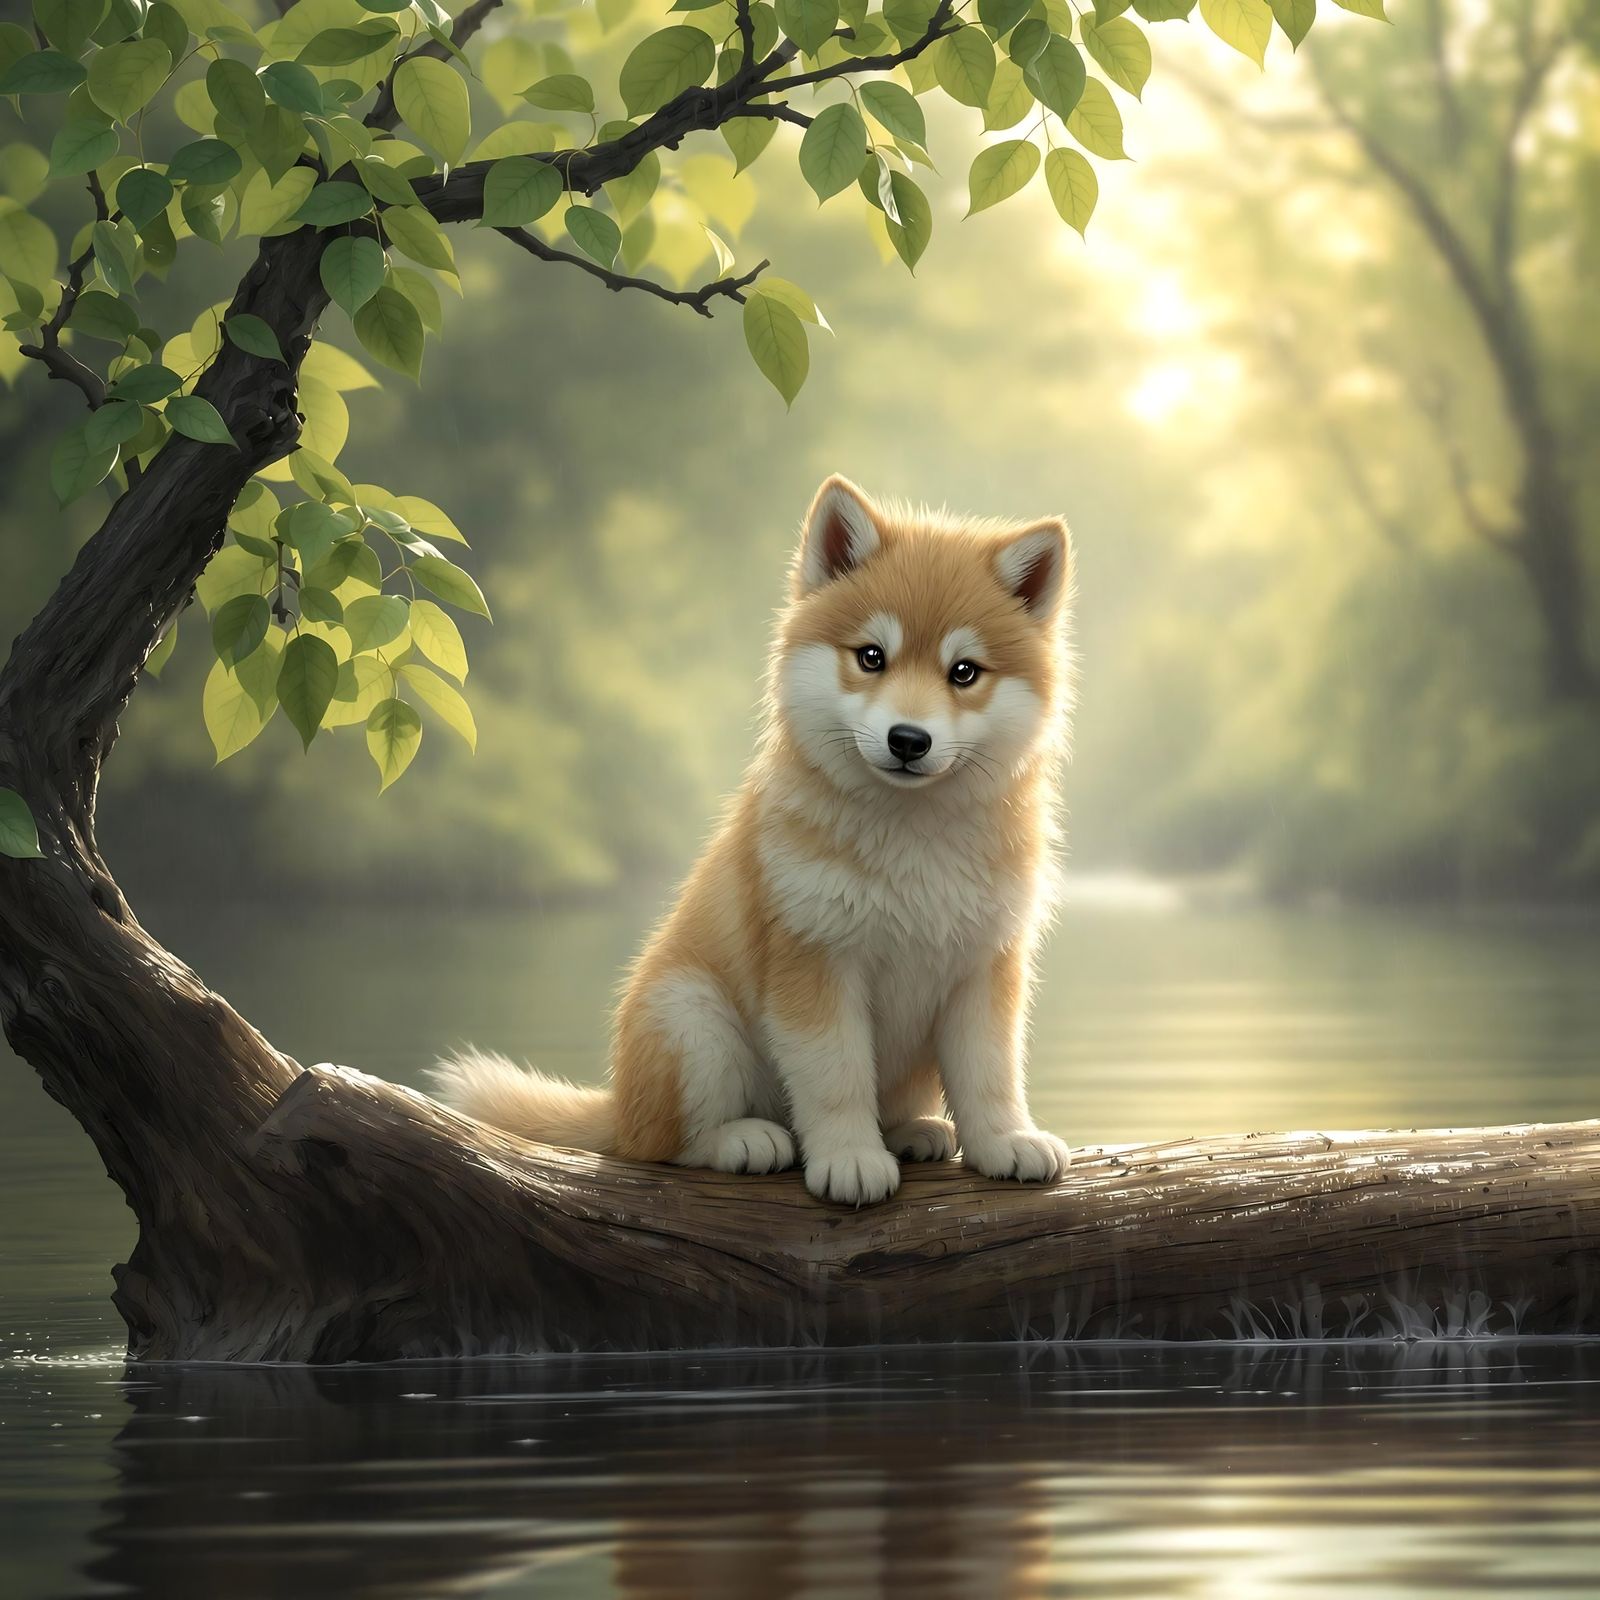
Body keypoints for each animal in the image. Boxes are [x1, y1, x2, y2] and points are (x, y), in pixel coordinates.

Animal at [432, 475, 1074, 1205]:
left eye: (964, 672)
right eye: (871, 657)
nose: (909, 740)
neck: (914, 838)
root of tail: (618, 1105)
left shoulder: (984, 966)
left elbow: (991, 1075)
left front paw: (1005, 1143)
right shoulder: (814, 960)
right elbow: (835, 1077)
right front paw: (850, 1157)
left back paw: (914, 1131)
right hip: (690, 1016)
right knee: (661, 1146)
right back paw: (744, 1140)